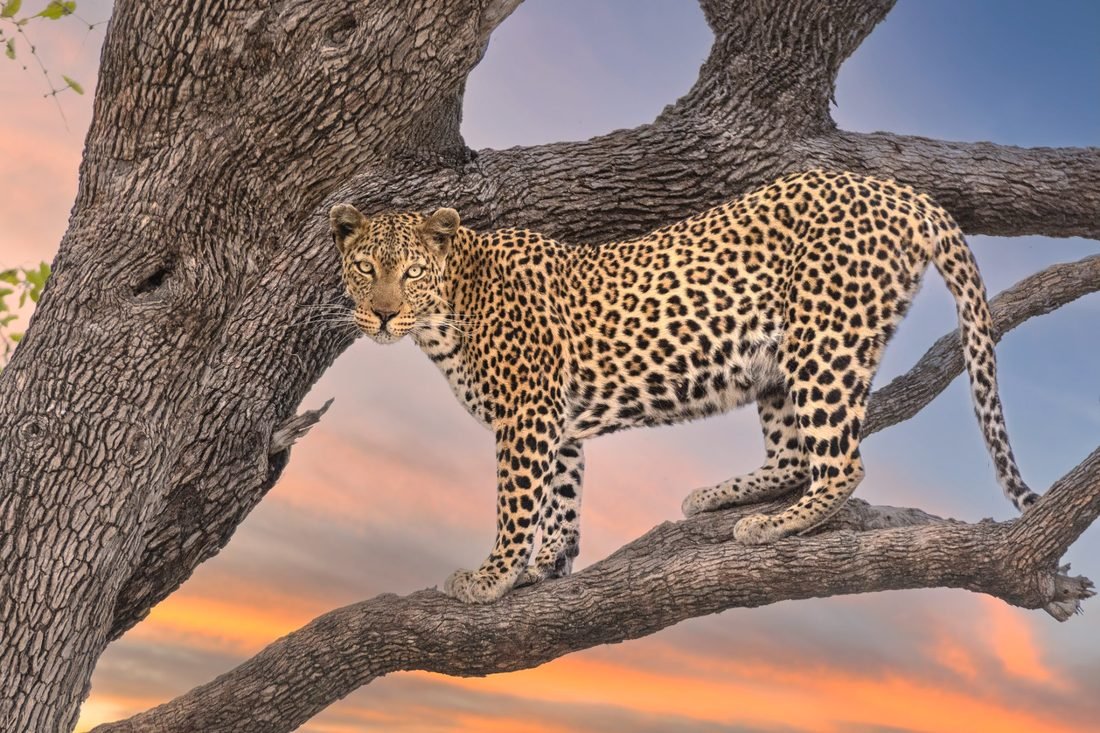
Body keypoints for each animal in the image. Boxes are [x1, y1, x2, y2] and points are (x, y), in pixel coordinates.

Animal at [328, 169, 1037, 605]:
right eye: (364, 268)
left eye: (411, 272)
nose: (383, 315)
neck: (446, 312)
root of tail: (894, 187)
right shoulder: (557, 422)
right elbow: (561, 497)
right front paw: (545, 565)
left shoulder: (526, 416)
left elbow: (515, 502)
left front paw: (493, 576)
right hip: (774, 362)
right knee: (792, 455)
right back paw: (718, 495)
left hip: (824, 337)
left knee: (842, 464)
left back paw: (774, 526)